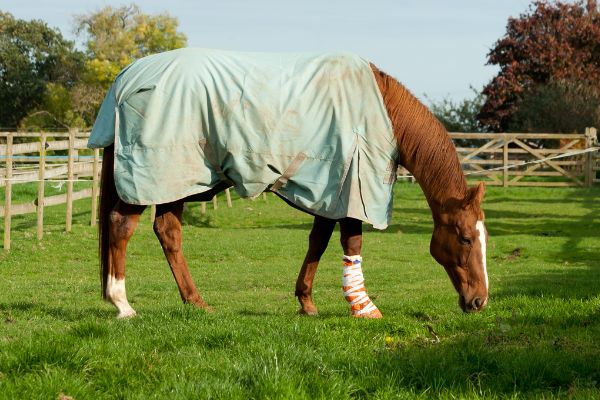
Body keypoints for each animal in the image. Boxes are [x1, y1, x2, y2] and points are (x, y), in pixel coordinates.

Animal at [92, 49, 488, 318]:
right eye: (466, 239)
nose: (480, 300)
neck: (382, 111)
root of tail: (127, 77)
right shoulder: (352, 188)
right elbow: (351, 242)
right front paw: (364, 307)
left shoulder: (331, 192)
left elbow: (318, 242)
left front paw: (307, 301)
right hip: (155, 174)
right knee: (122, 225)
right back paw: (123, 304)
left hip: (176, 181)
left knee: (168, 232)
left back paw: (195, 301)